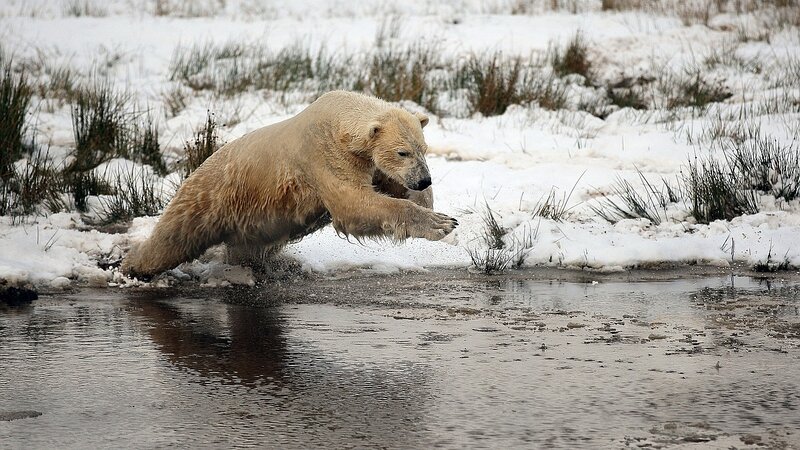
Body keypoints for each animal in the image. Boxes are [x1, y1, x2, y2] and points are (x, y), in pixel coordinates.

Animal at [121, 91, 458, 278]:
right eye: (402, 152)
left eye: (423, 148)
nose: (423, 178)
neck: (340, 117)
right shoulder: (324, 155)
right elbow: (353, 205)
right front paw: (442, 224)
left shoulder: (367, 162)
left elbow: (390, 185)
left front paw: (433, 209)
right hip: (209, 198)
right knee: (173, 238)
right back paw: (131, 266)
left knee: (244, 249)